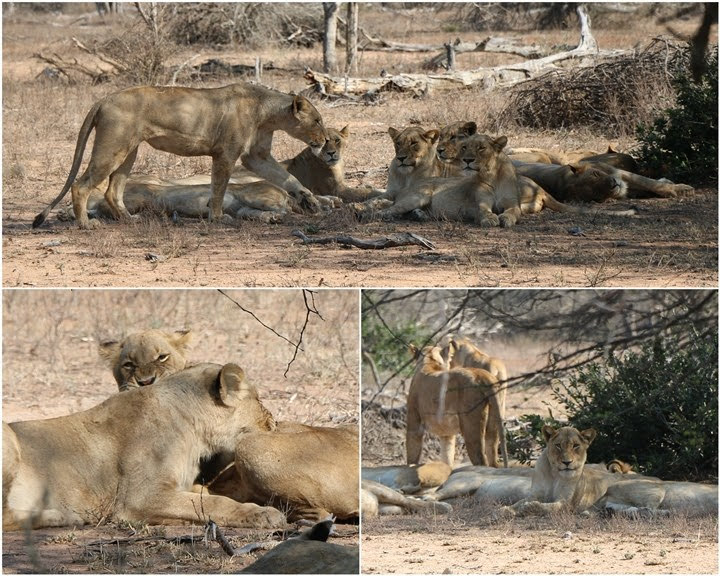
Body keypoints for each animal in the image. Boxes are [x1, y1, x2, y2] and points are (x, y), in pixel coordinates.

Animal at [4, 364, 290, 532]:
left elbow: (203, 498)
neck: (195, 430)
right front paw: (262, 514)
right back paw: (62, 517)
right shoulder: (139, 496)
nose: (274, 421)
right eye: (258, 398)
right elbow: (216, 503)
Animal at [33, 81, 326, 230]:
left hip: (129, 150)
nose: (324, 141)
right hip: (113, 147)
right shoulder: (226, 153)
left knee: (111, 191)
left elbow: (285, 177)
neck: (268, 114)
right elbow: (218, 188)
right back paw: (86, 224)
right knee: (81, 185)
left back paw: (129, 219)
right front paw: (217, 217)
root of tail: (103, 99)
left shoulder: (257, 156)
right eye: (318, 120)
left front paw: (308, 198)